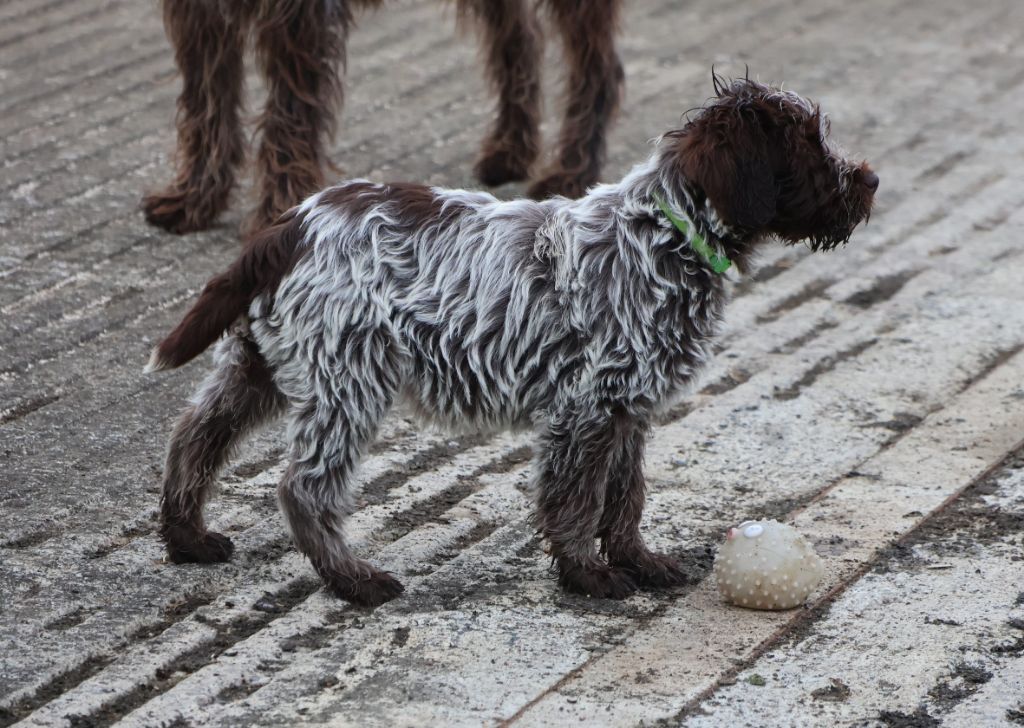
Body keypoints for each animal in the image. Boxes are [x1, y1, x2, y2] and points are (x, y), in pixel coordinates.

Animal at [142, 0, 622, 234]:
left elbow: (288, 113)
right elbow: (208, 103)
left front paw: (279, 209)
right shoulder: (199, 15)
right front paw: (195, 197)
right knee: (520, 39)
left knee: (598, 65)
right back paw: (510, 150)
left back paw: (572, 169)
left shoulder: (298, 19)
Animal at [146, 76, 880, 606]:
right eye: (807, 148)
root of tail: (292, 222)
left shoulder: (627, 407)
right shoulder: (587, 409)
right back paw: (353, 581)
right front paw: (589, 577)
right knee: (305, 488)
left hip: (259, 364)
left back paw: (187, 538)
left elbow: (625, 496)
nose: (870, 180)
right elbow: (576, 500)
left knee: (193, 437)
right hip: (347, 381)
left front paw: (639, 561)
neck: (663, 233)